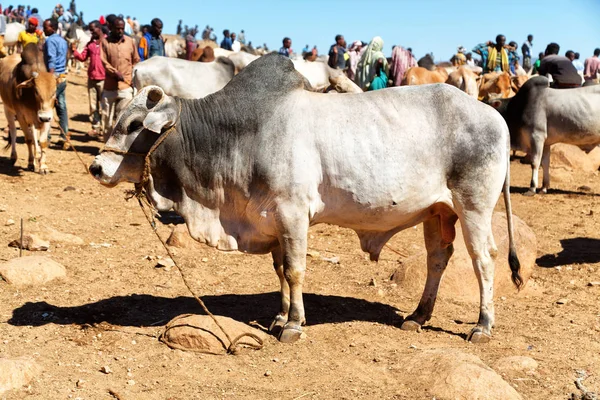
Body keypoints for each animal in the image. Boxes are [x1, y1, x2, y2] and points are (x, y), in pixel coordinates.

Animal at [0, 43, 56, 173]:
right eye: (36, 91)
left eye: (54, 92)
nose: (43, 117)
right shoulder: (21, 116)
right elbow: (28, 139)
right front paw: (30, 163)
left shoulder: (48, 117)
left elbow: (43, 141)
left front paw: (43, 166)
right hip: (7, 109)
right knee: (14, 131)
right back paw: (13, 156)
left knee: (33, 133)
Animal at [89, 54, 520, 344]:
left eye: (133, 124)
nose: (96, 167)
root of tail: (494, 116)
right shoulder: (274, 218)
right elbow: (281, 270)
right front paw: (279, 318)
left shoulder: (293, 213)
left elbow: (295, 270)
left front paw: (294, 325)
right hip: (437, 212)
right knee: (438, 258)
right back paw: (418, 315)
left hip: (474, 207)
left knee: (484, 258)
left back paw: (482, 325)